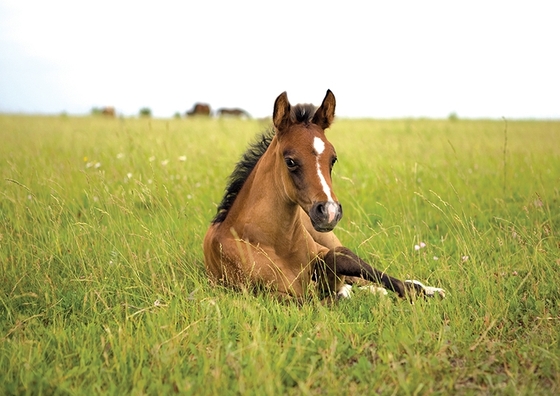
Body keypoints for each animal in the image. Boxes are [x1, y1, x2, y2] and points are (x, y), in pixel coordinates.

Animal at [203, 89, 444, 302]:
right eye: (290, 161)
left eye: (333, 159)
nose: (329, 212)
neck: (274, 244)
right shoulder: (271, 295)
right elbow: (322, 298)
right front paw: (341, 292)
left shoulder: (322, 253)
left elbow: (342, 257)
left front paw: (419, 291)